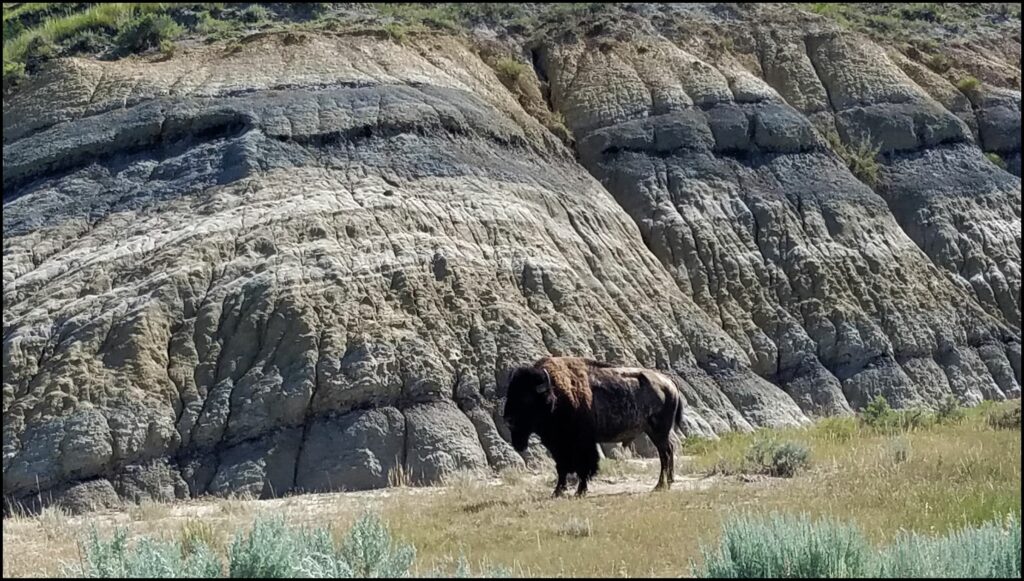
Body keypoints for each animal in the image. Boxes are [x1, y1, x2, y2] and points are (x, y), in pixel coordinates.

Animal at [499, 356, 684, 498]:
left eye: (526, 398)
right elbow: (561, 468)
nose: (508, 420)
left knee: (665, 453)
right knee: (667, 451)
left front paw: (580, 491)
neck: (555, 393)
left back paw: (660, 485)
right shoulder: (558, 446)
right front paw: (557, 492)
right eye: (510, 393)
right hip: (655, 432)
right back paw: (668, 482)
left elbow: (584, 467)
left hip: (658, 431)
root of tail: (669, 383)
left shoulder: (582, 444)